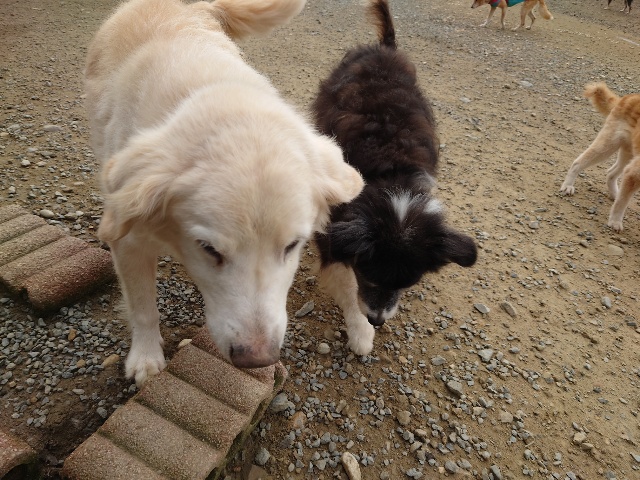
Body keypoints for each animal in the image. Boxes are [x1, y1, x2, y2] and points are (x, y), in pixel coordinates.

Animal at [86, 0, 365, 385]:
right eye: (208, 249)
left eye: (292, 246)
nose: (258, 359)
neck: (221, 98)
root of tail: (179, 5)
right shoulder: (128, 239)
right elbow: (143, 307)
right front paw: (145, 358)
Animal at [312, 0, 478, 356]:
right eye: (368, 275)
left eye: (408, 283)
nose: (377, 321)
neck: (391, 176)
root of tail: (385, 47)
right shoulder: (333, 228)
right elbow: (345, 282)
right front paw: (361, 334)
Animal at [560, 83, 640, 232]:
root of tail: (626, 98)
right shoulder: (634, 173)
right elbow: (622, 203)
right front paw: (615, 221)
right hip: (607, 146)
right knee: (578, 162)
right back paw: (568, 185)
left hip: (628, 155)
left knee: (611, 173)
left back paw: (615, 194)